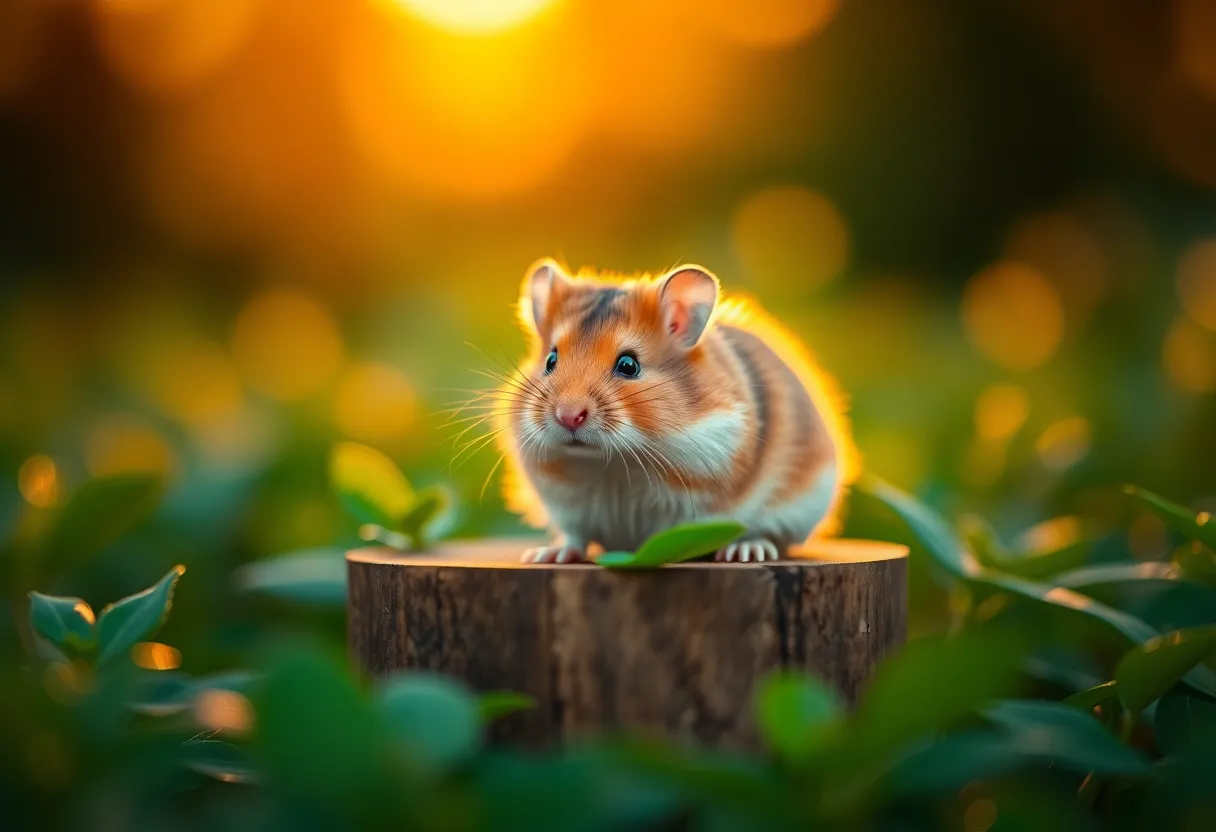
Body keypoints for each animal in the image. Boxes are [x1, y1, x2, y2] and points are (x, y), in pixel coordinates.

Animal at [492, 258, 860, 564]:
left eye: (629, 365)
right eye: (550, 360)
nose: (568, 416)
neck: (611, 464)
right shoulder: (567, 508)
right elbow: (575, 536)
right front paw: (546, 556)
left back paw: (746, 552)